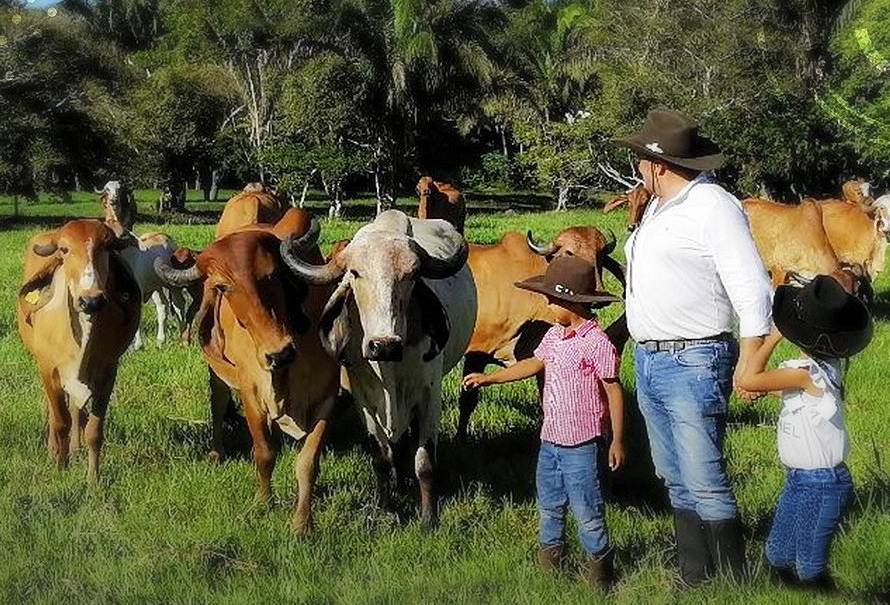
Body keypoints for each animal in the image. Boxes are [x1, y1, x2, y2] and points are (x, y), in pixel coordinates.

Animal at [14, 219, 140, 478]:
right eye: (64, 249)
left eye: (106, 246)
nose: (91, 300)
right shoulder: (48, 369)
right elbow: (60, 421)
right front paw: (60, 466)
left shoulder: (108, 371)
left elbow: (93, 429)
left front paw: (93, 477)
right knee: (56, 412)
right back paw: (55, 450)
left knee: (75, 410)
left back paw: (75, 448)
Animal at [153, 209, 336, 532]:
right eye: (223, 287)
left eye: (272, 274)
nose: (278, 352)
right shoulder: (252, 395)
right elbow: (264, 453)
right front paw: (263, 503)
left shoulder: (327, 396)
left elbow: (308, 462)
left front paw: (302, 523)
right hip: (218, 376)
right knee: (217, 405)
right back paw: (217, 451)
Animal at [280, 210, 476, 528]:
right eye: (355, 273)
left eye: (412, 275)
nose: (384, 345)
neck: (388, 368)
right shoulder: (365, 400)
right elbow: (381, 458)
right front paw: (387, 508)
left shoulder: (429, 395)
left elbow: (425, 461)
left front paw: (428, 518)